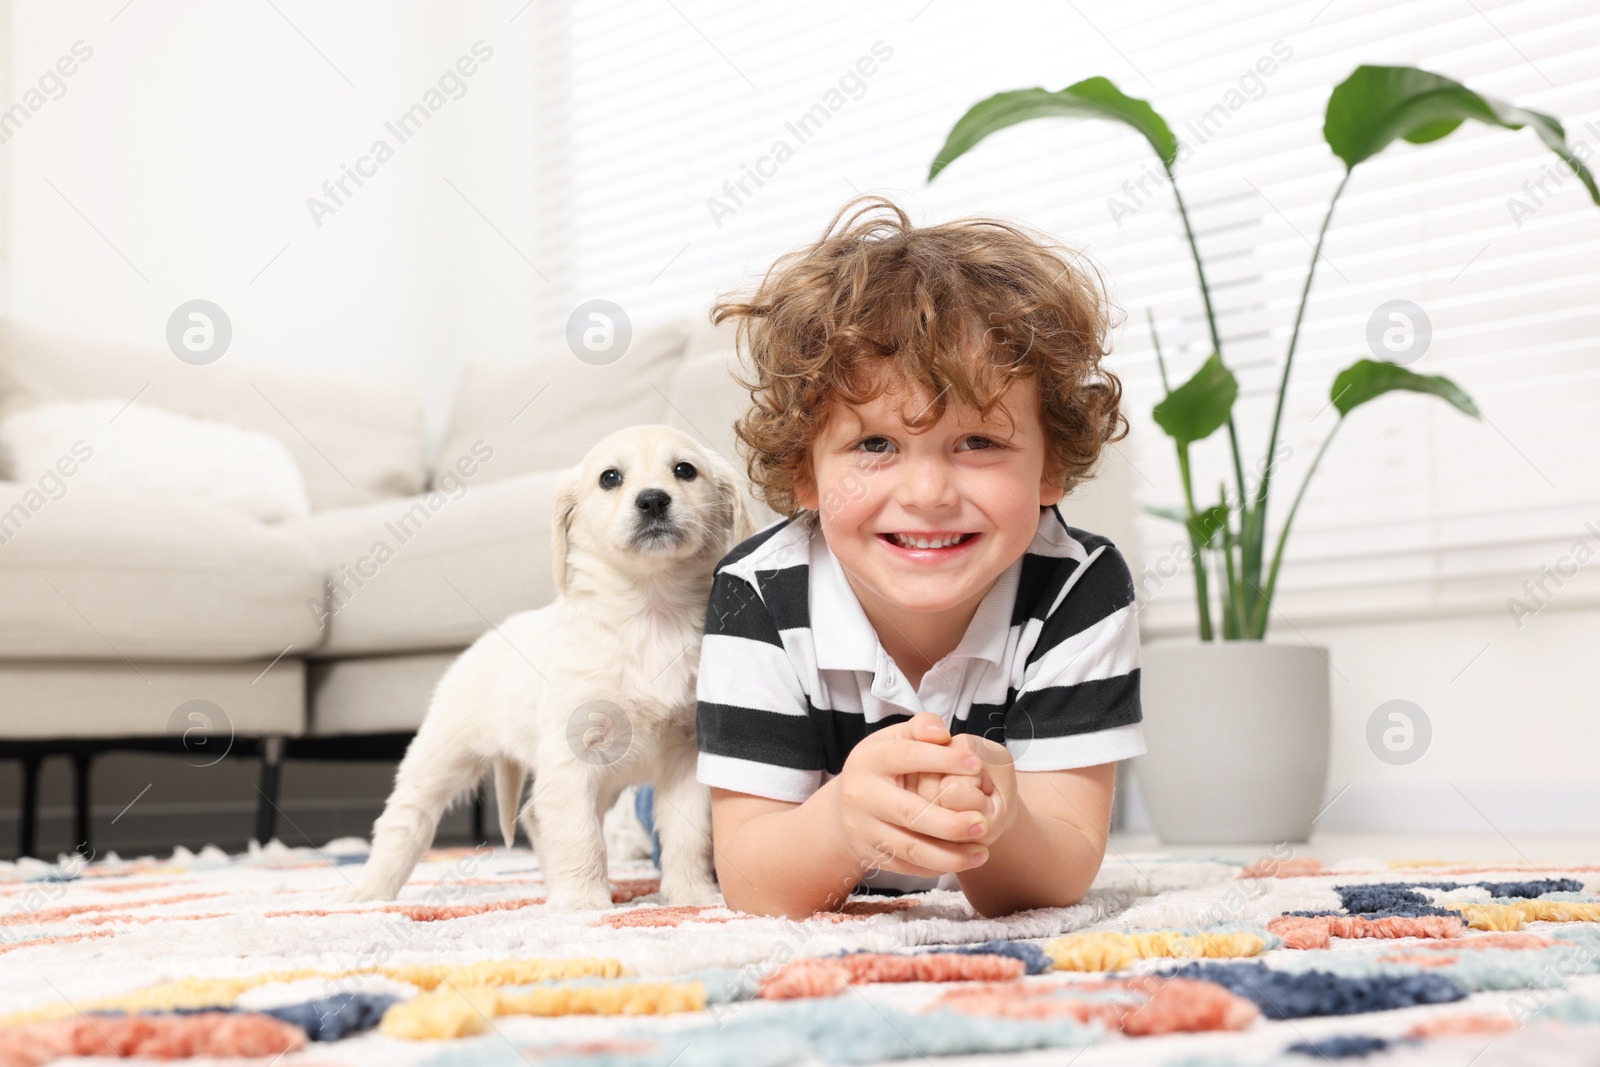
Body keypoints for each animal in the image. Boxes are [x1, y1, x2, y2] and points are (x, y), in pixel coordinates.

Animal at [345, 422, 755, 908]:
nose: (653, 500)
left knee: (533, 818)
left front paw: (691, 895)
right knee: (405, 819)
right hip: (442, 756)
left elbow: (688, 835)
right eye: (610, 478)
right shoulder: (572, 756)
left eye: (684, 471)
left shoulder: (686, 756)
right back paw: (370, 891)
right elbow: (581, 835)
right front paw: (581, 901)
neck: (648, 612)